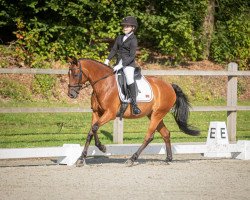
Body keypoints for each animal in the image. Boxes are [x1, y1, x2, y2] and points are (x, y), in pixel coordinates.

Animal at [68, 58, 199, 167]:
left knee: (149, 136)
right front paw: (83, 157)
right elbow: (91, 131)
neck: (104, 84)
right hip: (153, 115)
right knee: (166, 133)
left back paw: (132, 159)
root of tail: (170, 86)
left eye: (75, 74)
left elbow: (94, 128)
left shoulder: (110, 114)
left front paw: (100, 149)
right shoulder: (96, 112)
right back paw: (168, 158)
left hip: (157, 115)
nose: (71, 94)